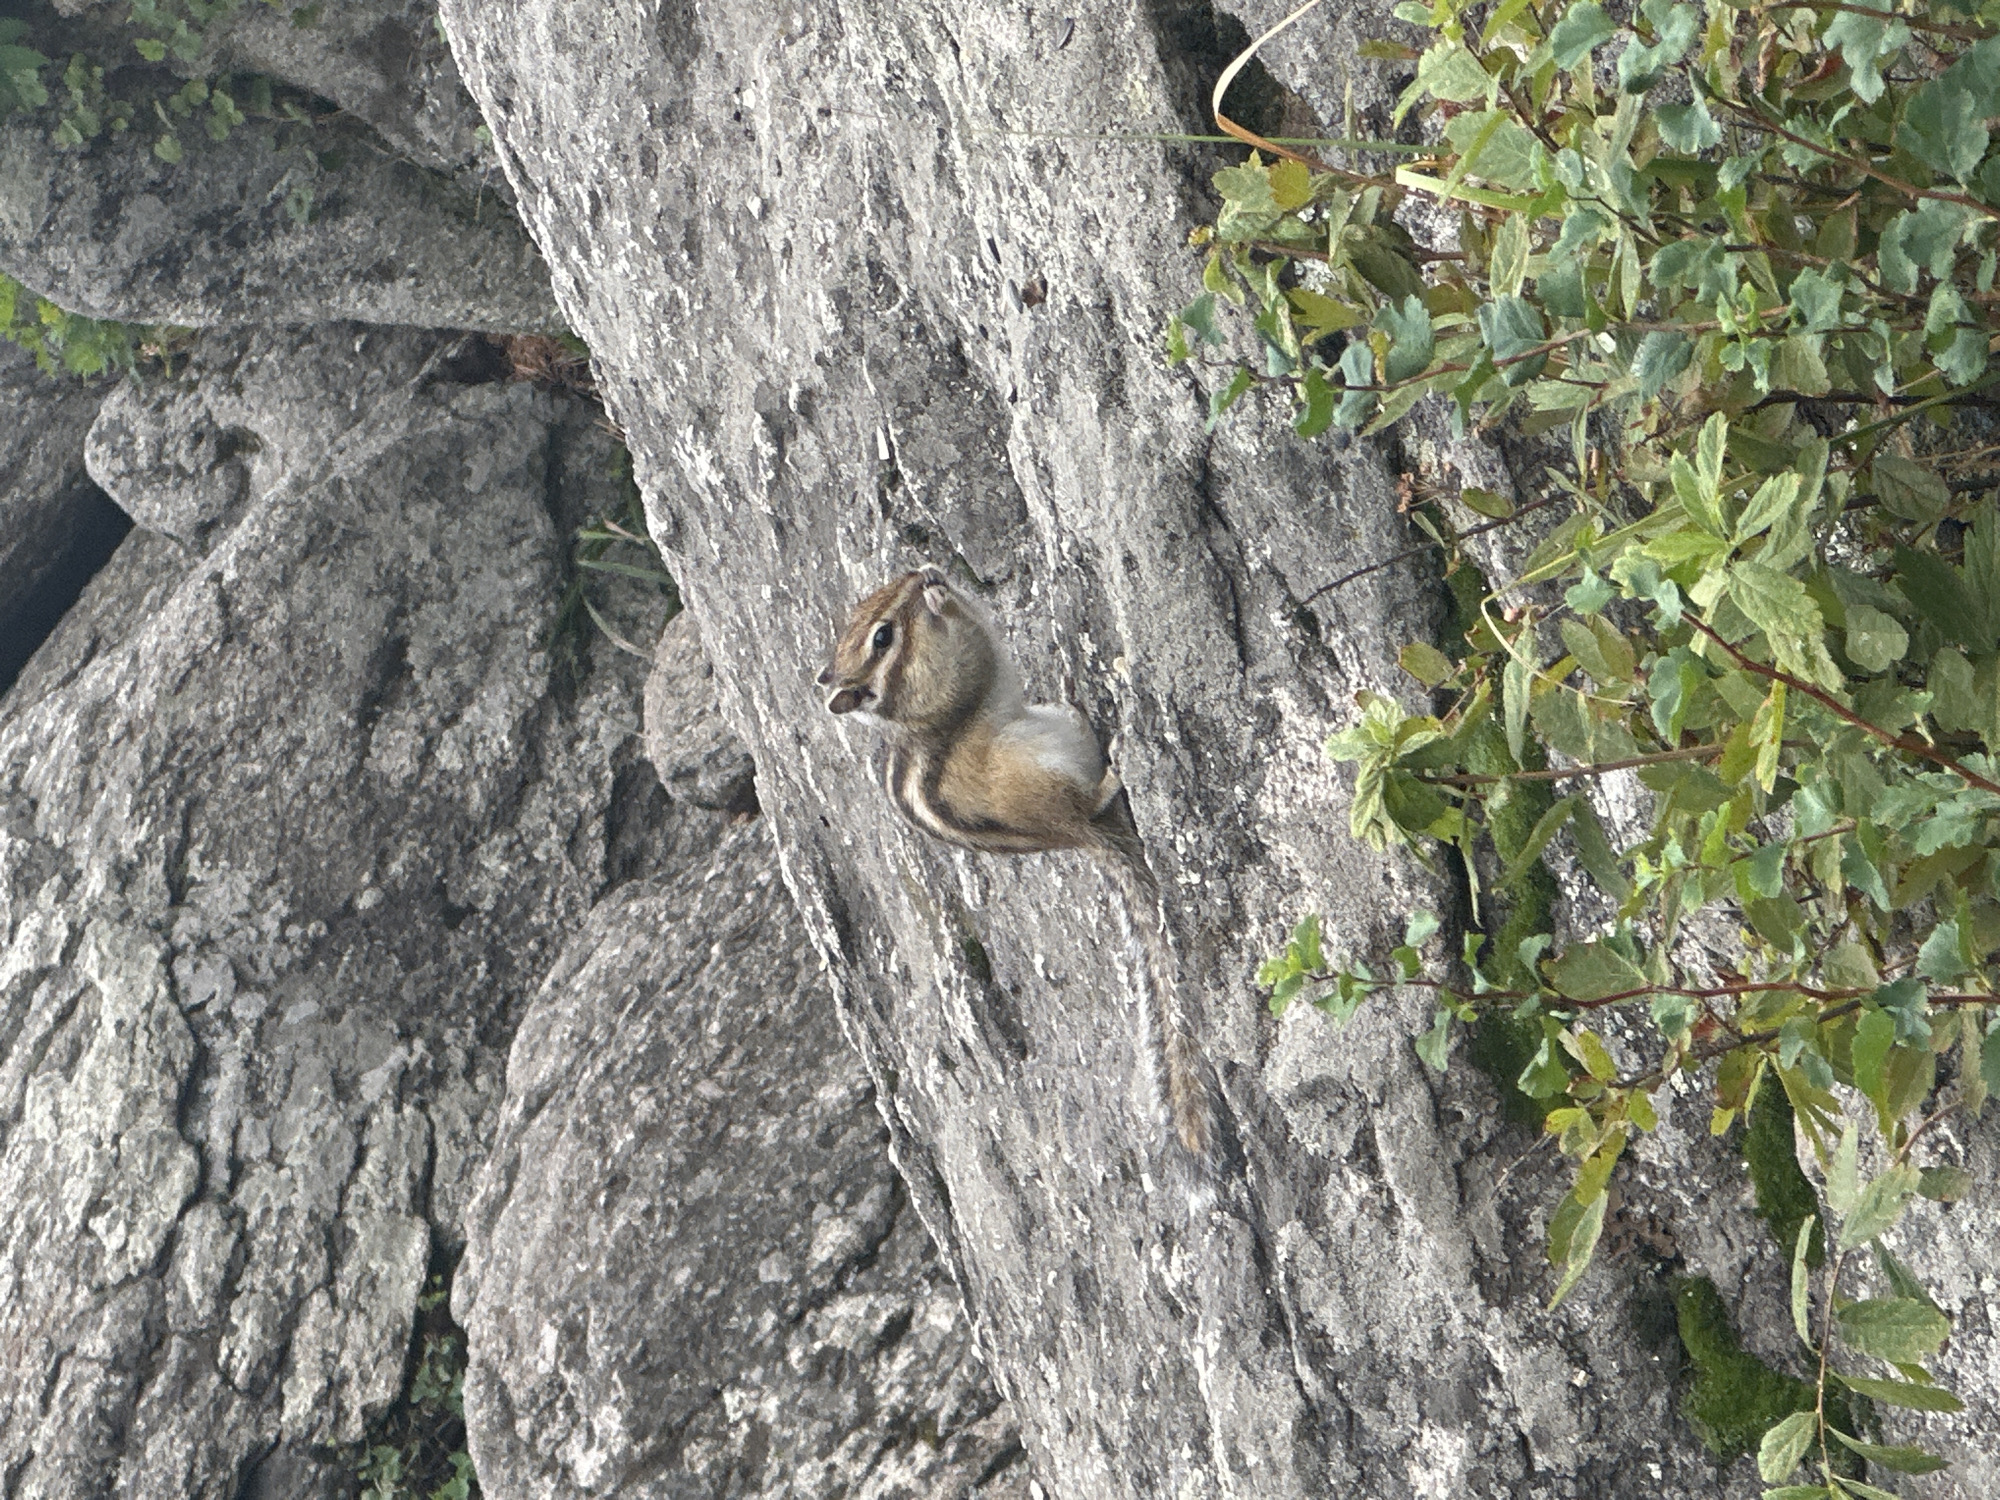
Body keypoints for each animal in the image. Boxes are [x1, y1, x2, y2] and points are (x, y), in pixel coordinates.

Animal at [817, 567, 1217, 1177]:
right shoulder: (948, 679)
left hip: (1055, 728)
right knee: (1085, 805)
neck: (902, 711)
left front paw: (937, 581)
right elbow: (970, 652)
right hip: (1040, 778)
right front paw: (940, 598)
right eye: (882, 638)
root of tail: (1071, 841)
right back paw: (1116, 768)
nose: (920, 573)